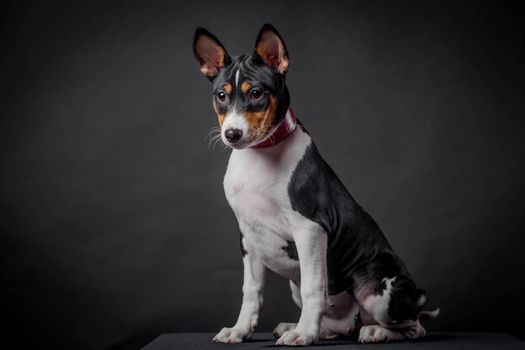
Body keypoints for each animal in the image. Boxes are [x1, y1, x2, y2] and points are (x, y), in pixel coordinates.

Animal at [192, 23, 438, 344]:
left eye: (256, 93)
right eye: (221, 95)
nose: (232, 134)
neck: (260, 154)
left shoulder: (309, 228)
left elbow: (313, 289)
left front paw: (304, 335)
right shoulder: (249, 236)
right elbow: (251, 291)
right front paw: (240, 330)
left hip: (374, 287)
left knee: (413, 327)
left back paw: (371, 331)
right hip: (302, 288)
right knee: (339, 326)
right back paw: (303, 327)